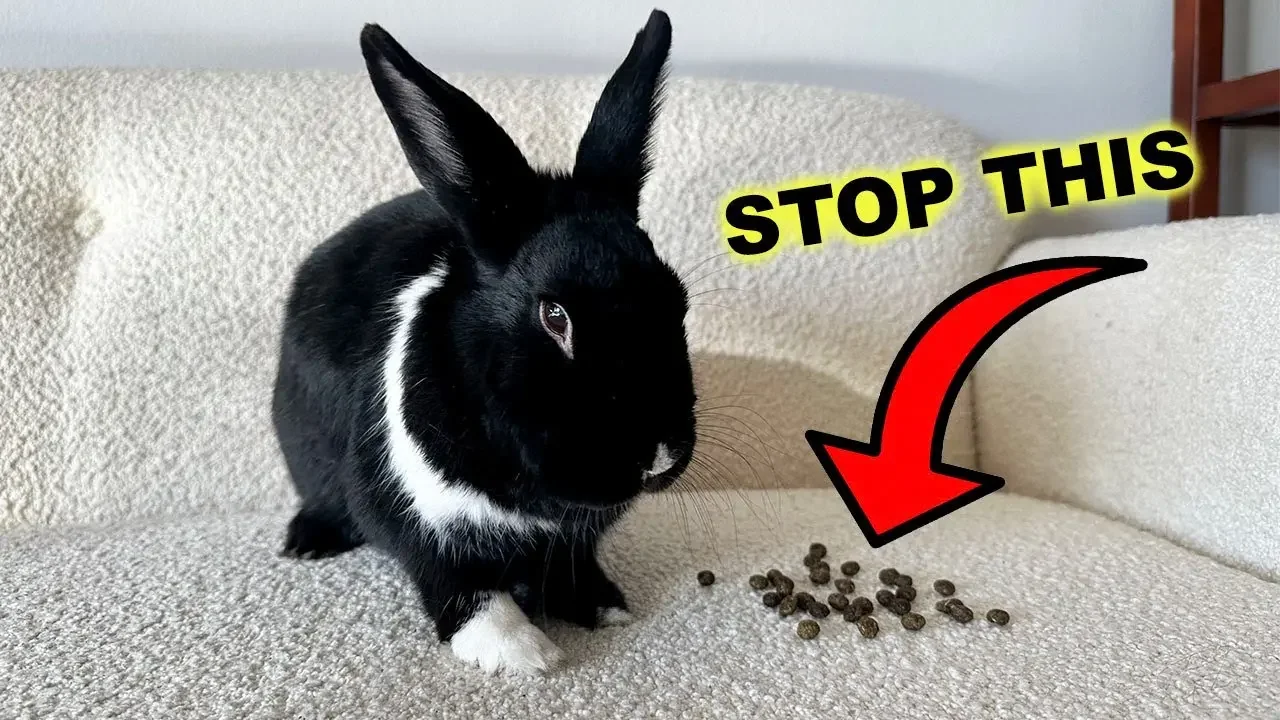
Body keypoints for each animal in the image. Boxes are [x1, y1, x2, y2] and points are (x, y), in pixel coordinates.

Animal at [271, 9, 695, 676]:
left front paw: (605, 608)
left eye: (677, 299)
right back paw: (306, 544)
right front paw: (522, 653)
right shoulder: (419, 520)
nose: (655, 457)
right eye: (554, 317)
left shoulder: (574, 540)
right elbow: (462, 584)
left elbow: (572, 567)